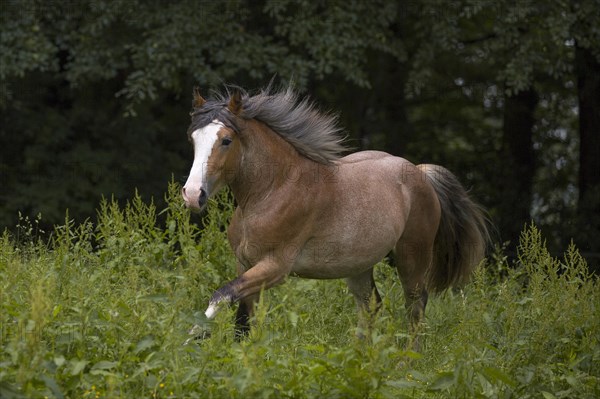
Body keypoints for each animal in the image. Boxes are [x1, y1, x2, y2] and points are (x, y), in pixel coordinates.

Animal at [180, 85, 490, 346]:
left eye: (226, 140)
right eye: (193, 138)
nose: (193, 195)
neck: (274, 190)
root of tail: (420, 172)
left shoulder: (275, 267)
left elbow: (221, 295)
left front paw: (189, 338)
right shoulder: (245, 264)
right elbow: (242, 321)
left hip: (412, 256)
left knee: (415, 305)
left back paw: (407, 360)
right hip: (359, 265)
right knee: (372, 306)